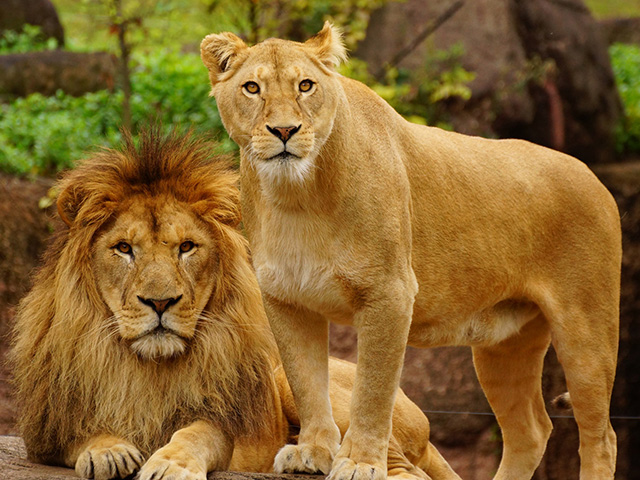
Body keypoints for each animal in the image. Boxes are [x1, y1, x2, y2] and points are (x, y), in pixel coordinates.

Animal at [11, 129, 460, 480]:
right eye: (123, 248)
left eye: (186, 247)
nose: (160, 302)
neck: (147, 369)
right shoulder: (47, 432)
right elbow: (82, 434)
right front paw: (108, 451)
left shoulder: (225, 419)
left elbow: (196, 433)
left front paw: (170, 463)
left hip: (289, 379)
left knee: (402, 466)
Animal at [202, 21, 624, 480]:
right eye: (252, 88)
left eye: (306, 85)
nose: (284, 132)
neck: (296, 195)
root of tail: (592, 175)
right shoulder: (287, 298)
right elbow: (305, 381)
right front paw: (311, 452)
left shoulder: (390, 292)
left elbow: (373, 389)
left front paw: (358, 462)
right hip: (504, 344)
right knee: (530, 429)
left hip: (586, 329)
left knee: (601, 435)